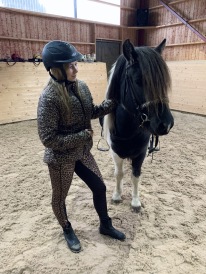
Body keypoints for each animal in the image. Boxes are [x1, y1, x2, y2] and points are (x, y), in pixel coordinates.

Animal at [101, 38, 174, 212]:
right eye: (139, 81)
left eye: (164, 82)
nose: (166, 124)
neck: (128, 131)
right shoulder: (115, 152)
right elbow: (119, 174)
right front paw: (117, 195)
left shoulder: (140, 153)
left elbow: (135, 175)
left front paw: (135, 201)